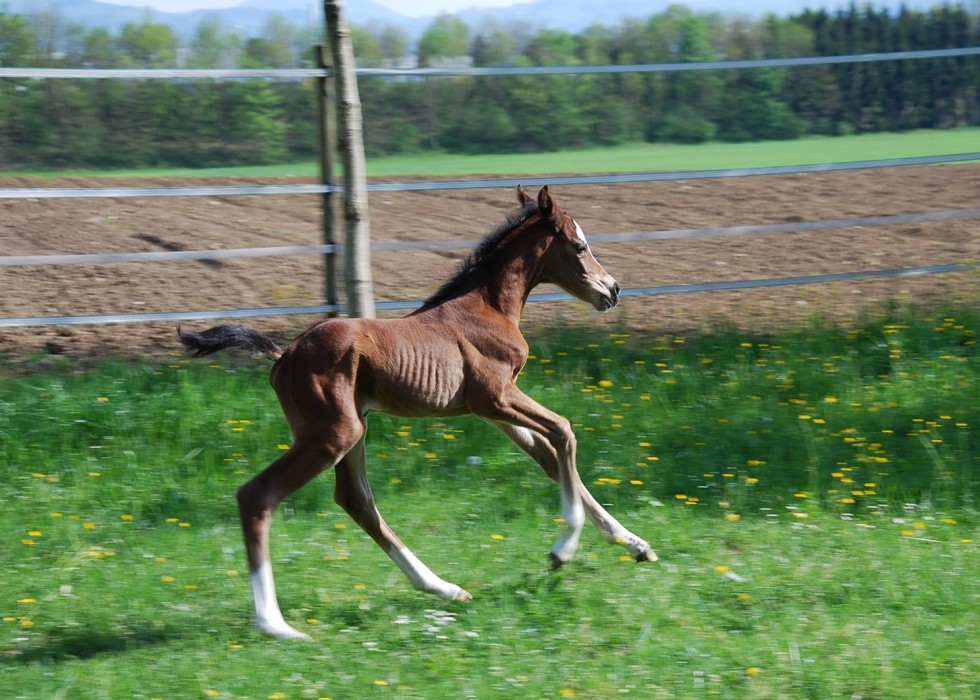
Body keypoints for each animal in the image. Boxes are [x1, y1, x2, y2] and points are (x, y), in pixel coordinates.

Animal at [182, 186, 660, 640]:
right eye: (579, 246)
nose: (613, 290)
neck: (487, 306)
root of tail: (284, 353)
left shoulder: (491, 410)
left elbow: (549, 456)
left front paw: (635, 545)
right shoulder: (495, 396)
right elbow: (564, 431)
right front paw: (562, 552)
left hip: (353, 431)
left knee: (356, 500)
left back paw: (444, 588)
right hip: (332, 434)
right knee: (259, 495)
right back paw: (276, 626)